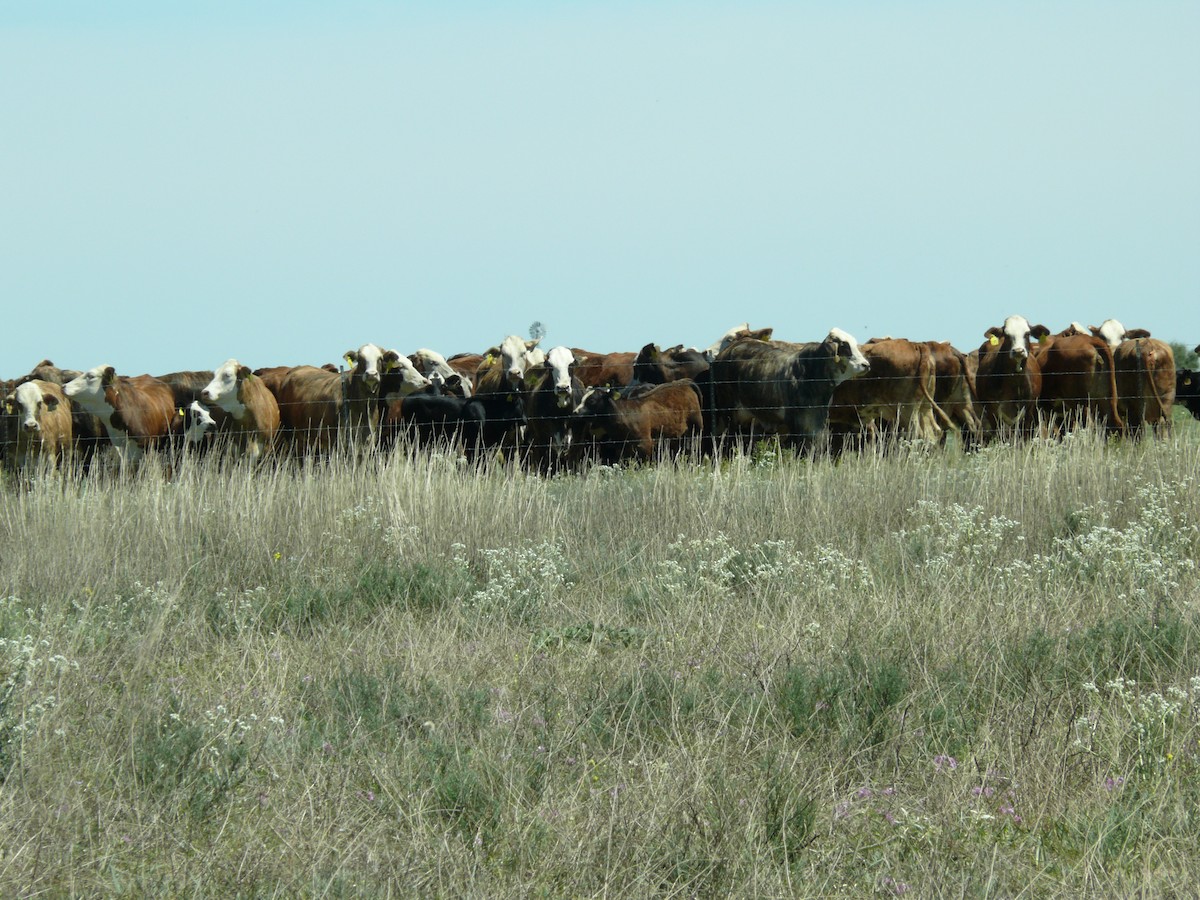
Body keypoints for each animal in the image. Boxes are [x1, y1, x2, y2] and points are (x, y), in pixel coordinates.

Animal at [571, 380, 703, 464]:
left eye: (592, 400)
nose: (575, 412)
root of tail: (684, 383)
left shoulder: (645, 444)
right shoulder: (623, 448)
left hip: (696, 428)